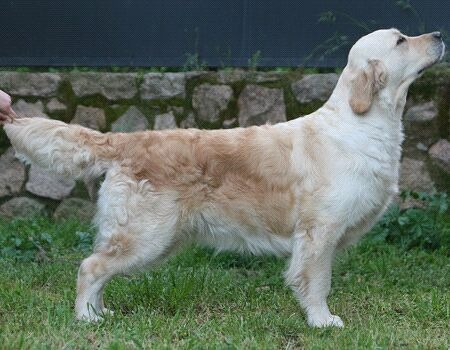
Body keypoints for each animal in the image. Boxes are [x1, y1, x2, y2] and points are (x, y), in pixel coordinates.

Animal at [0, 28, 444, 326]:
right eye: (401, 40)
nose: (439, 34)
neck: (361, 123)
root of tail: (126, 138)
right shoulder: (319, 232)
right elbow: (317, 282)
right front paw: (322, 322)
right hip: (146, 236)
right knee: (89, 267)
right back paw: (87, 318)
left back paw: (100, 310)